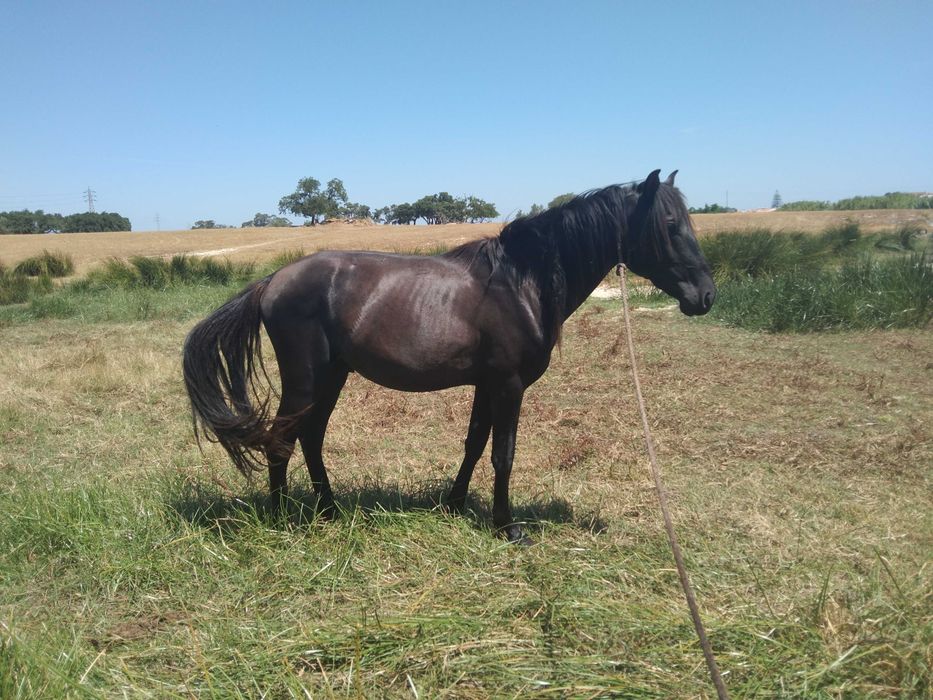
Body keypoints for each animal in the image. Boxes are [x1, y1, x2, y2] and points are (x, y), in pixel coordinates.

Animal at [182, 169, 715, 543]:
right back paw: (281, 518)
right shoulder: (509, 385)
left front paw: (455, 504)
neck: (522, 283)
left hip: (333, 376)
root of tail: (273, 280)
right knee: (281, 440)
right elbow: (503, 454)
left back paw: (328, 511)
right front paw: (507, 526)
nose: (706, 296)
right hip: (306, 378)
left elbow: (474, 444)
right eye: (670, 225)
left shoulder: (487, 384)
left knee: (310, 438)